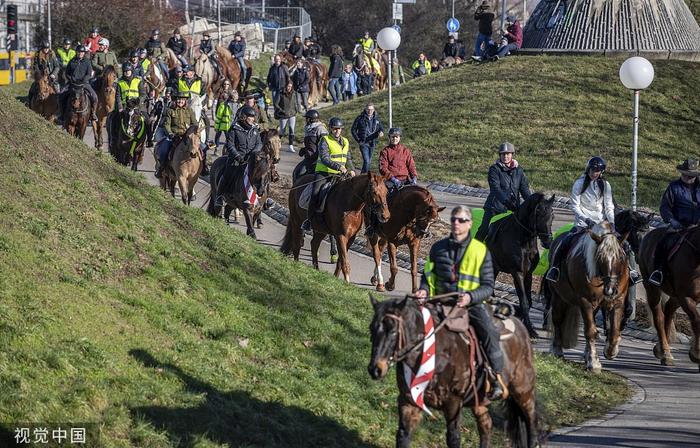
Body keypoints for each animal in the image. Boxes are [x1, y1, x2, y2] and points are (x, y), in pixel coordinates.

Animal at [366, 294, 540, 448]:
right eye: (371, 328)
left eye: (393, 331)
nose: (375, 369)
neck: (435, 353)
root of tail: (521, 328)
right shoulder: (409, 400)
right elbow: (403, 435)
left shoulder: (453, 403)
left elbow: (453, 438)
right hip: (480, 400)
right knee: (486, 424)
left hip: (523, 391)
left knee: (532, 422)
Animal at [484, 194, 556, 338]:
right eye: (538, 213)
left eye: (552, 215)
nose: (547, 241)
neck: (524, 241)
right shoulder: (517, 273)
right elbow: (524, 302)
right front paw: (530, 330)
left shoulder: (528, 274)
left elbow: (528, 301)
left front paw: (525, 322)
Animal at [540, 220, 628, 372]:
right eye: (600, 257)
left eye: (620, 257)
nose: (611, 290)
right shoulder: (585, 301)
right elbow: (590, 331)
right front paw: (594, 362)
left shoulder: (617, 301)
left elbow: (614, 332)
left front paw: (610, 351)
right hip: (558, 297)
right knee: (558, 321)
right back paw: (557, 350)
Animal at [640, 224, 700, 368]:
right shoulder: (686, 297)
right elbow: (696, 320)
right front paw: (696, 353)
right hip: (652, 289)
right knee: (659, 317)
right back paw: (666, 353)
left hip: (675, 296)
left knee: (668, 311)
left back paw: (660, 349)